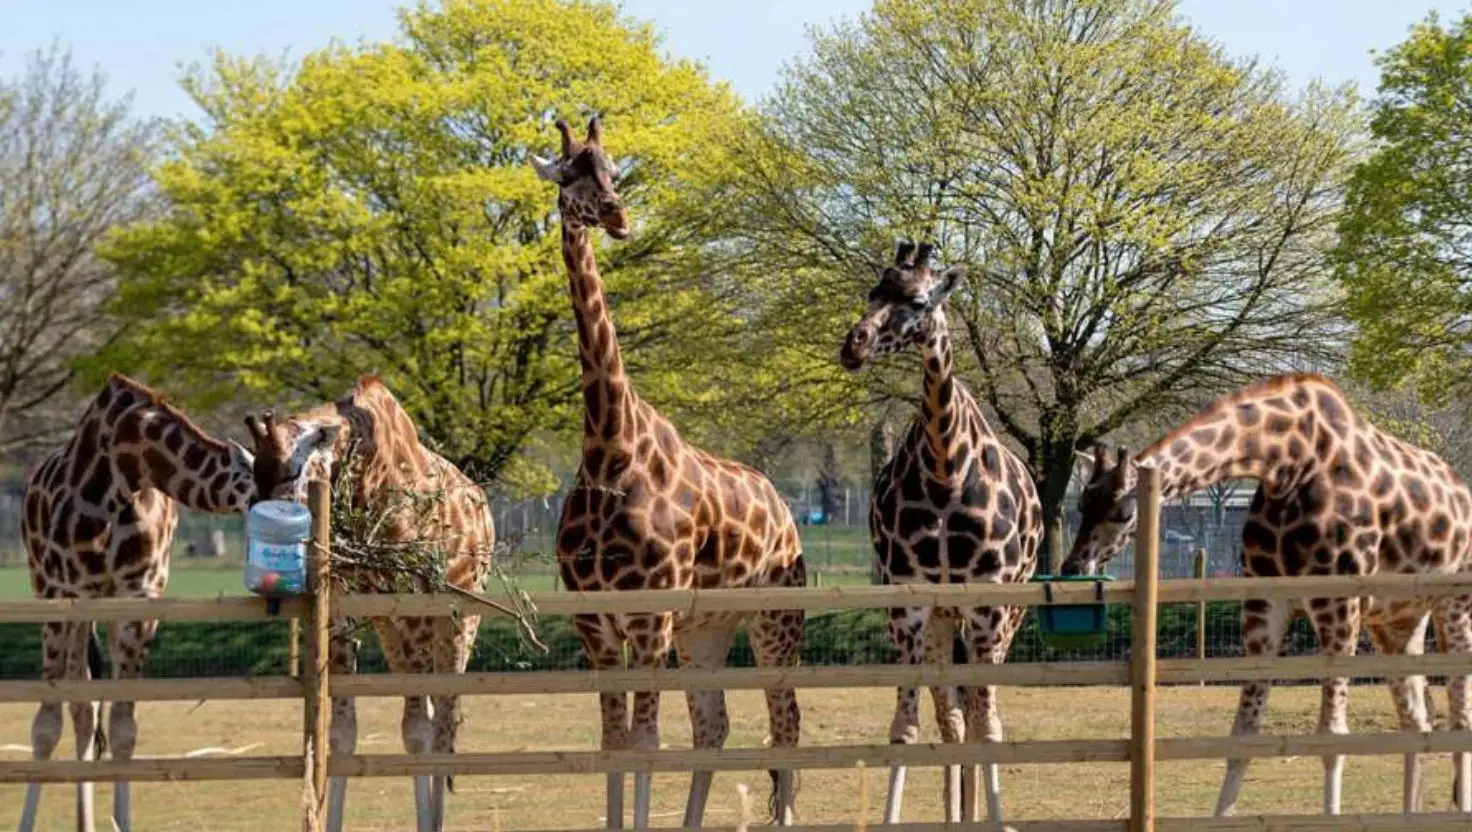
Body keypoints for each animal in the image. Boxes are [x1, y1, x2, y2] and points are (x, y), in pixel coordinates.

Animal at [17, 372, 258, 832]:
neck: (128, 463)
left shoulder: (138, 598)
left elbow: (124, 727)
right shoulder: (61, 592)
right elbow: (45, 725)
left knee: (89, 707)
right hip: (56, 592)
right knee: (79, 707)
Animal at [243, 375, 494, 832]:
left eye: (292, 469)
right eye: (255, 472)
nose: (260, 516)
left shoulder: (414, 605)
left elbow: (418, 731)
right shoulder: (344, 608)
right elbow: (341, 734)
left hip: (460, 617)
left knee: (445, 722)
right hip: (392, 629)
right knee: (436, 714)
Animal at [530, 115, 807, 829]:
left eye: (613, 172)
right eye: (570, 174)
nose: (617, 216)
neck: (609, 447)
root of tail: (785, 508)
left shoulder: (648, 615)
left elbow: (647, 740)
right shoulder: (595, 622)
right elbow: (614, 741)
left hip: (776, 614)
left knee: (785, 722)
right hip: (706, 629)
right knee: (715, 725)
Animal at [838, 240, 1043, 824]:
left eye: (919, 300)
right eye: (873, 292)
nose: (854, 345)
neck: (946, 470)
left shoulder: (990, 603)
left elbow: (988, 727)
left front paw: (995, 820)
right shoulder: (908, 604)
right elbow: (907, 727)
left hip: (1006, 615)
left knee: (975, 713)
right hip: (943, 620)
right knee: (952, 716)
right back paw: (956, 815)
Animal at [1060, 372, 1472, 816]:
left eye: (1123, 513)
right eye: (1082, 504)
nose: (1073, 568)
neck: (1285, 465)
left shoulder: (1338, 605)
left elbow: (1332, 736)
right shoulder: (1264, 602)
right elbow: (1243, 732)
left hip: (1454, 605)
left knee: (1459, 716)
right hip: (1397, 620)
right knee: (1416, 718)